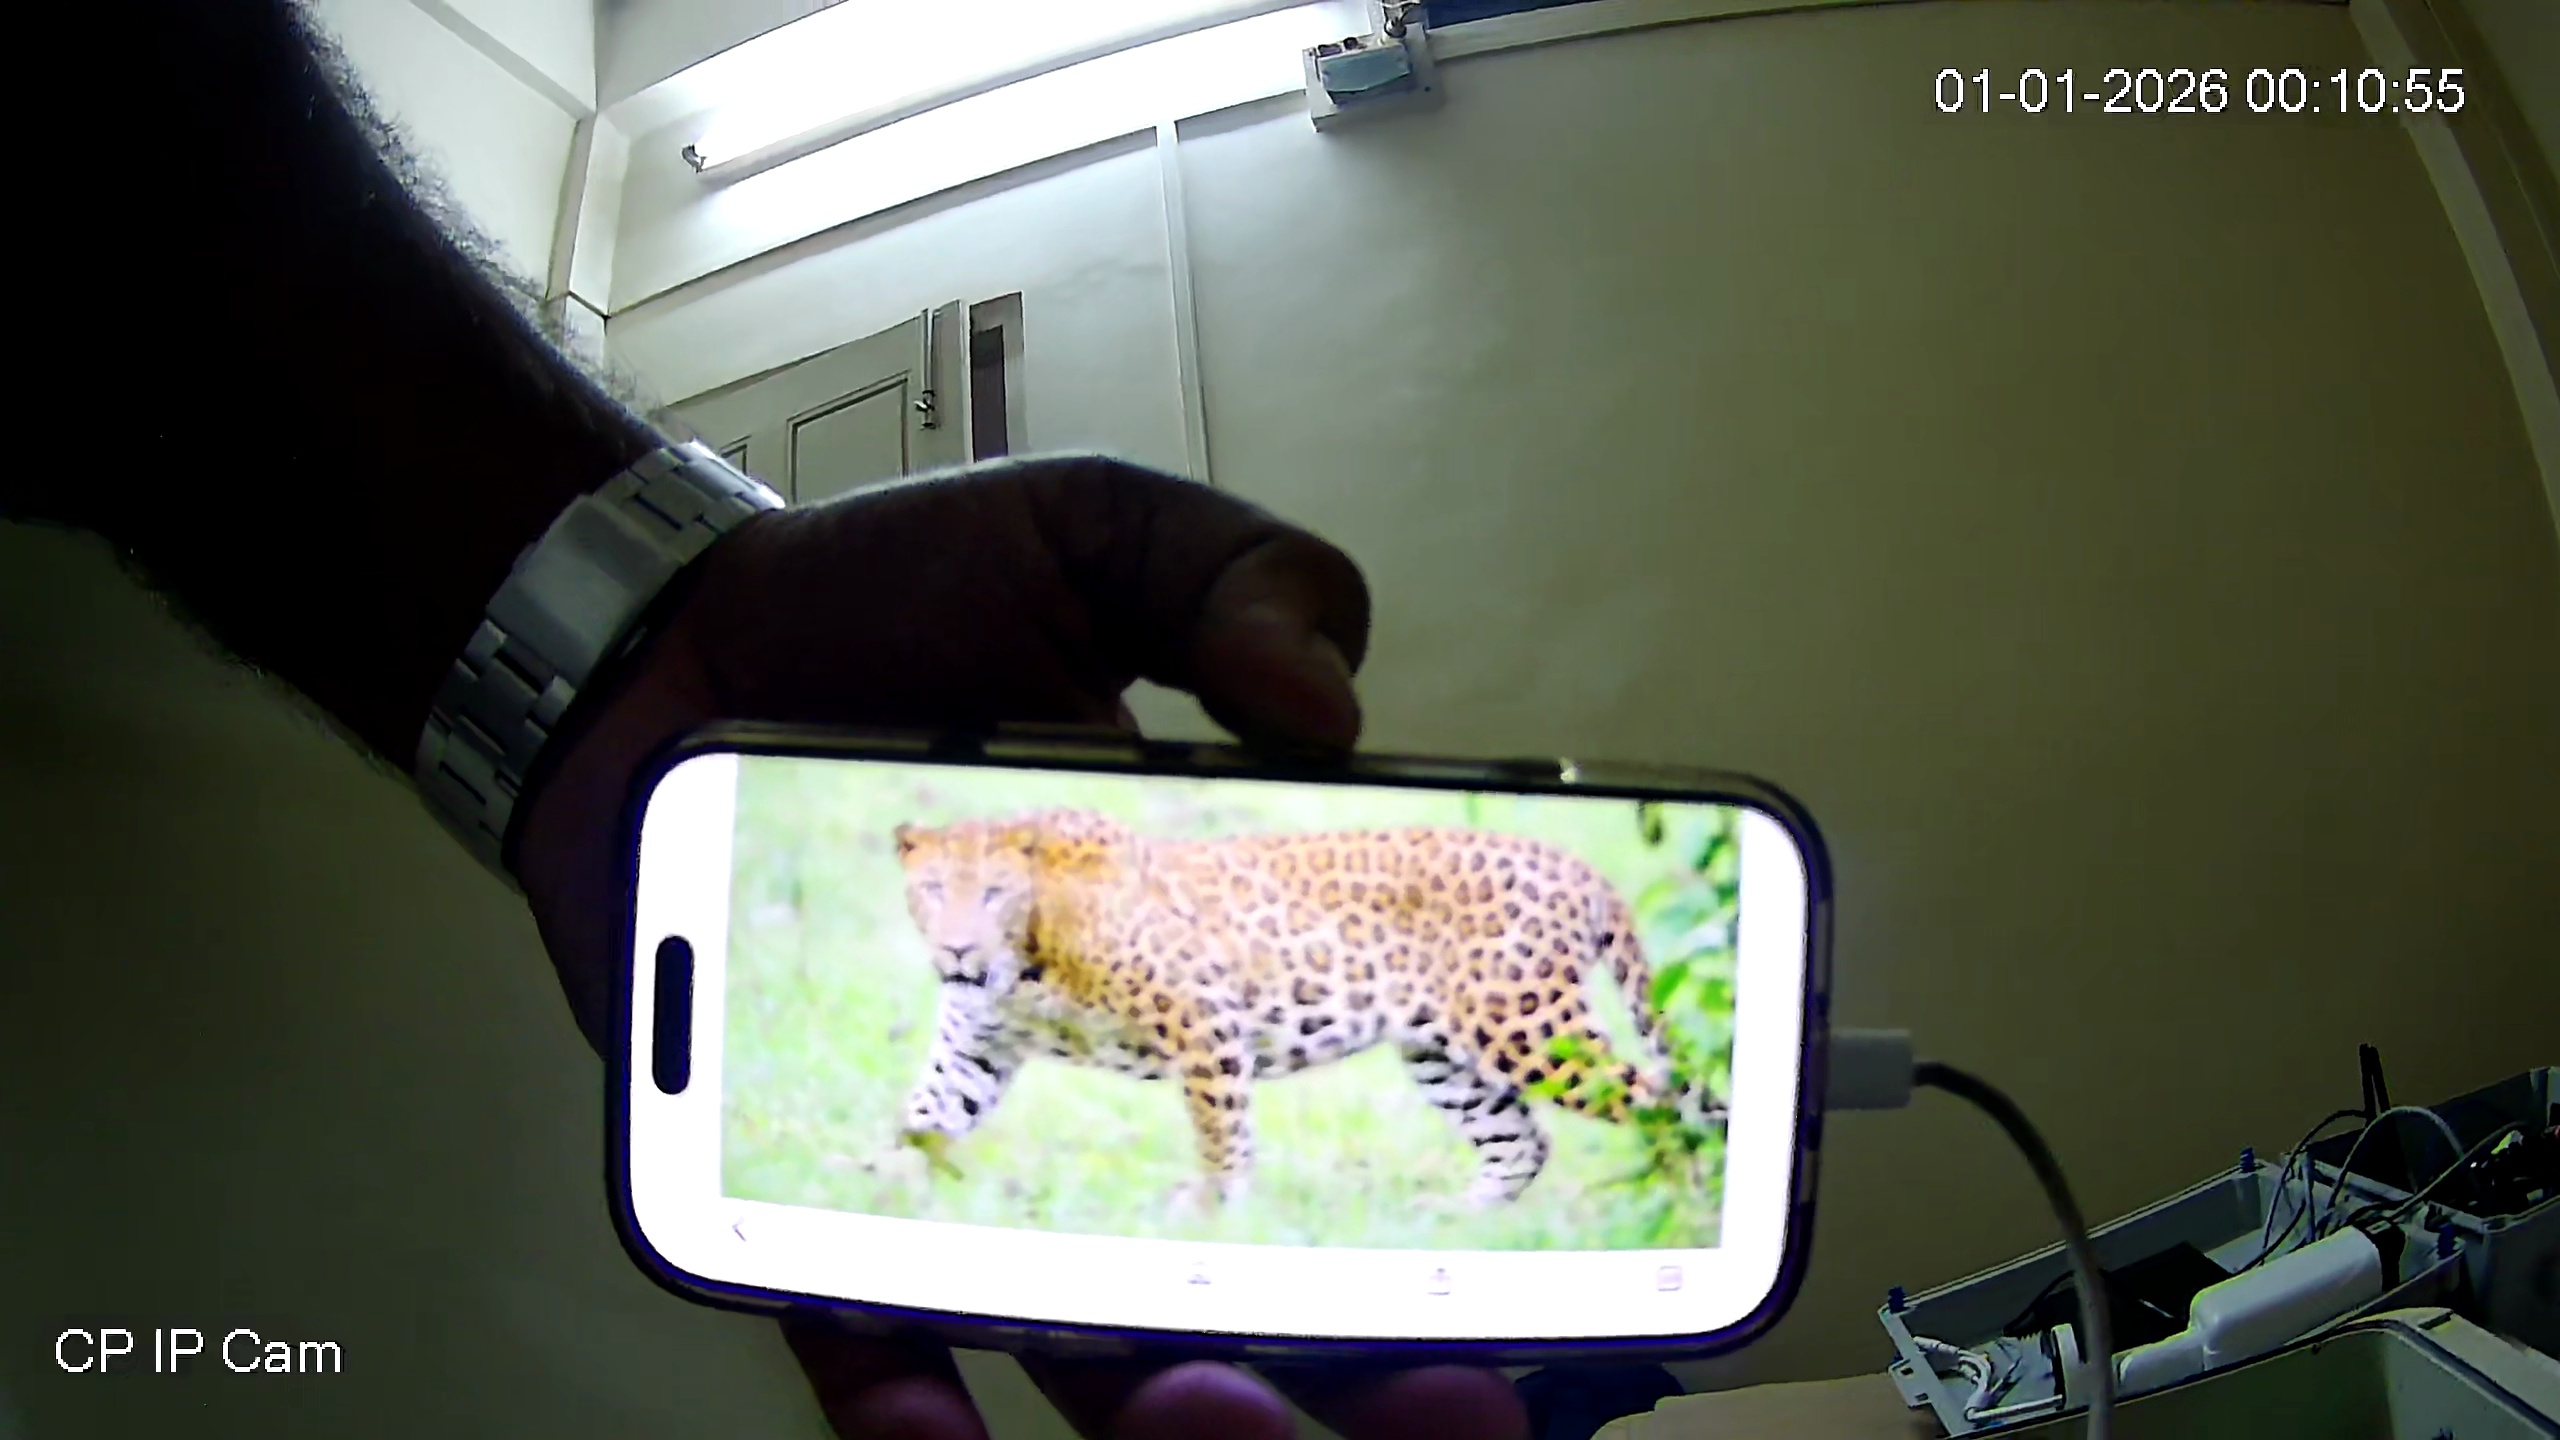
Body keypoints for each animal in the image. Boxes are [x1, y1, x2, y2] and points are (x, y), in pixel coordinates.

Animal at [889, 807, 1725, 1208]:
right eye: (932, 890)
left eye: (993, 894)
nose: (957, 952)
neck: (1024, 963)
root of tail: (1579, 868)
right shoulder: (974, 1050)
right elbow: (920, 1122)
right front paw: (877, 1205)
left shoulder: (1203, 1019)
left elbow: (1221, 1133)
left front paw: (1212, 1214)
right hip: (1445, 1056)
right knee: (1521, 1143)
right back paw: (1445, 1232)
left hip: (1531, 1029)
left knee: (1662, 1105)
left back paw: (1685, 1213)